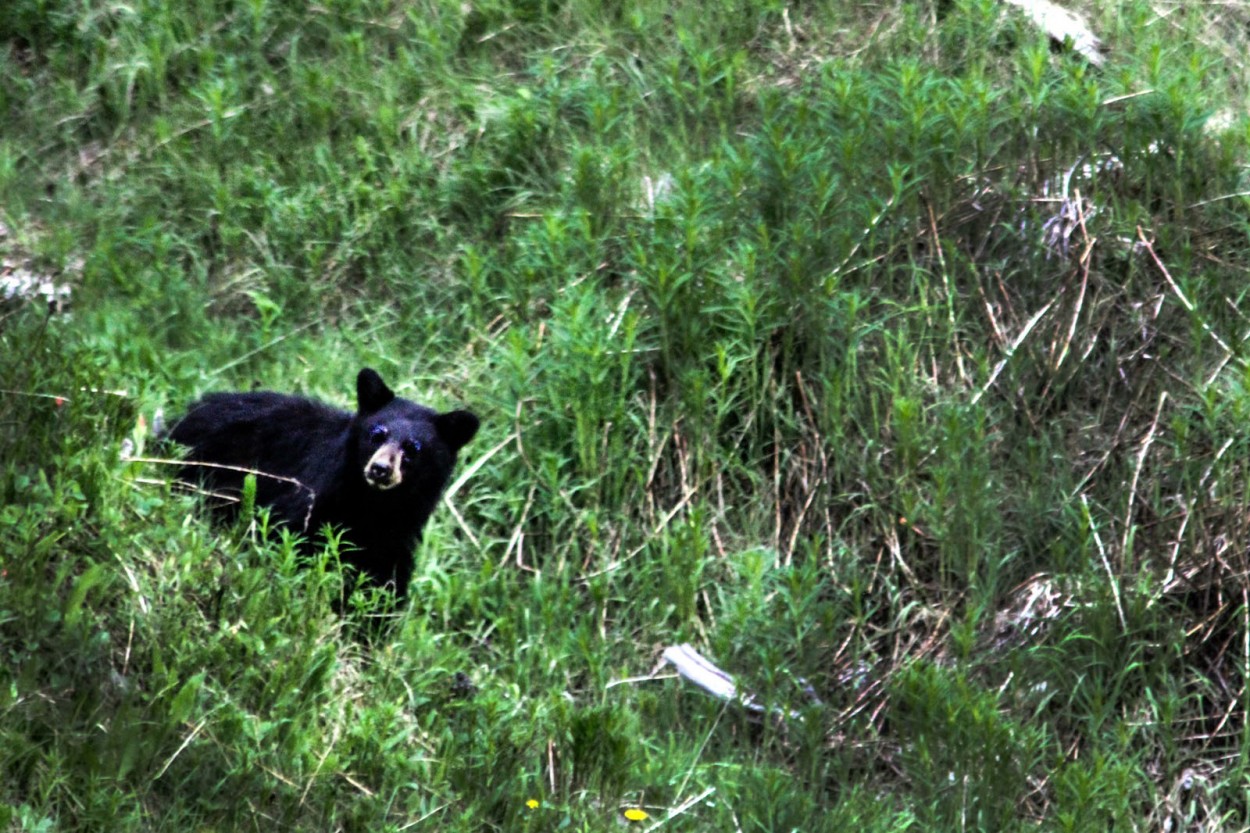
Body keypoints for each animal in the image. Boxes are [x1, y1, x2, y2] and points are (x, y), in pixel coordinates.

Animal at [167, 365, 477, 597]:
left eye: (413, 448)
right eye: (377, 434)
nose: (380, 469)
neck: (373, 504)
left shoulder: (397, 532)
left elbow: (384, 580)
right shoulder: (316, 496)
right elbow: (291, 535)